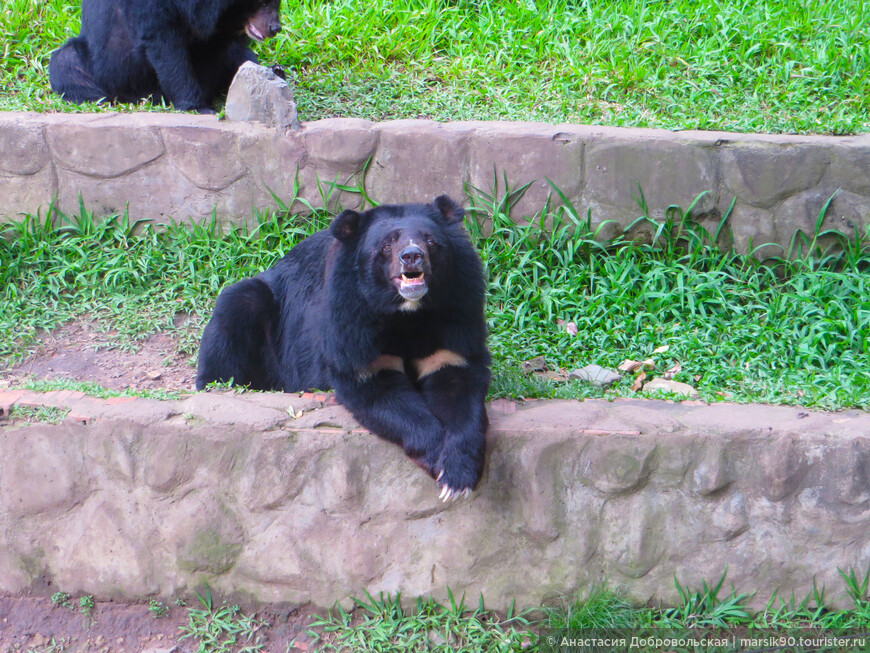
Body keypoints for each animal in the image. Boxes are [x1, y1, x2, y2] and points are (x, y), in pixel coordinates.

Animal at [200, 196, 494, 496]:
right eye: (387, 245)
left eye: (430, 241)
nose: (412, 255)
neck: (408, 313)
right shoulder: (351, 319)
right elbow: (372, 384)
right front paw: (437, 459)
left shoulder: (456, 309)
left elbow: (458, 381)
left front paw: (457, 477)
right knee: (235, 313)